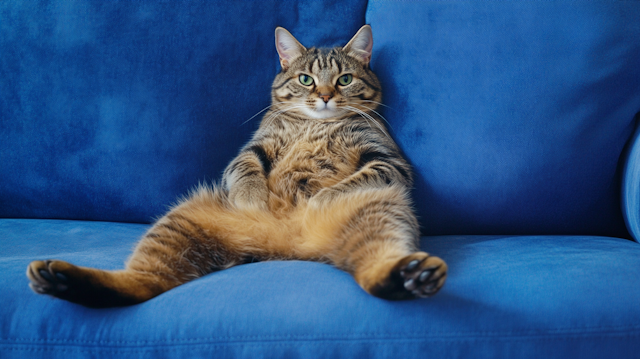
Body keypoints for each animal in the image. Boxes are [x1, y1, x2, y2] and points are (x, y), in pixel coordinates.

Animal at [27, 25, 448, 308]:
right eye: (306, 79)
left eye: (344, 79)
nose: (326, 96)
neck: (317, 123)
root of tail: (286, 249)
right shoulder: (252, 149)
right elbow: (246, 171)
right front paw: (255, 200)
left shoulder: (388, 162)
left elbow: (347, 182)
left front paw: (318, 199)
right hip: (178, 224)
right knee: (141, 283)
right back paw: (61, 279)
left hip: (381, 208)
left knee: (376, 263)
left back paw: (410, 276)